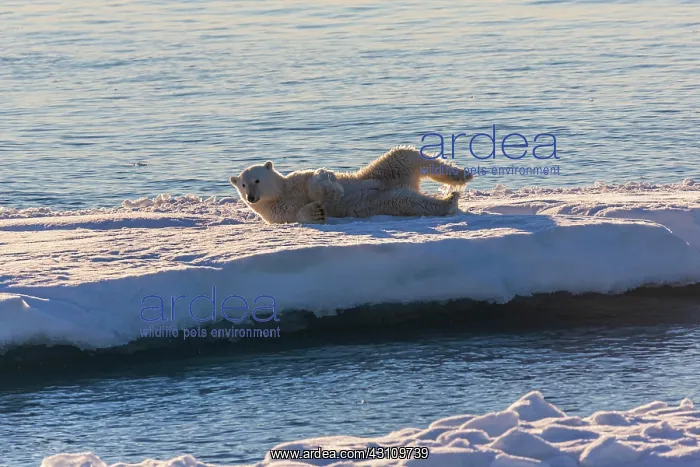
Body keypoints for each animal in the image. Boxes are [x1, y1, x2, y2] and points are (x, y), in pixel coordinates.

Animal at [229, 146, 473, 224]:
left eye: (256, 180)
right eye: (243, 185)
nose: (252, 197)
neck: (280, 193)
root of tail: (409, 184)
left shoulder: (295, 179)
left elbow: (314, 178)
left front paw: (330, 185)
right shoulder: (273, 212)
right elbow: (296, 214)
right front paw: (317, 211)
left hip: (379, 172)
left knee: (404, 155)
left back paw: (460, 176)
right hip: (384, 200)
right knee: (407, 200)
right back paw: (448, 201)